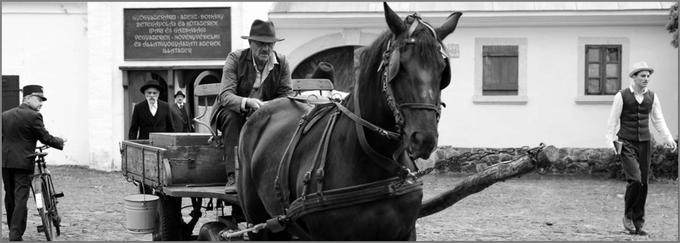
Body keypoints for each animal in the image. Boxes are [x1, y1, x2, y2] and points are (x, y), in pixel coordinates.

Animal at [235, 2, 462, 241]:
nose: (424, 138)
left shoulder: (405, 233)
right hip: (258, 222)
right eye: (400, 68)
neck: (376, 160)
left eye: (442, 70)